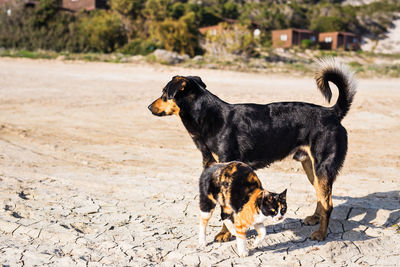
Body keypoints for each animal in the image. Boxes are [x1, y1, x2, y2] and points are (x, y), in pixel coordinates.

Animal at [148, 59, 356, 243]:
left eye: (164, 93)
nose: (149, 107)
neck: (208, 117)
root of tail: (332, 113)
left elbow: (227, 210)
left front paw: (225, 234)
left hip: (322, 167)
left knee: (328, 203)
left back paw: (321, 234)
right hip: (310, 167)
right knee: (321, 197)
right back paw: (314, 218)